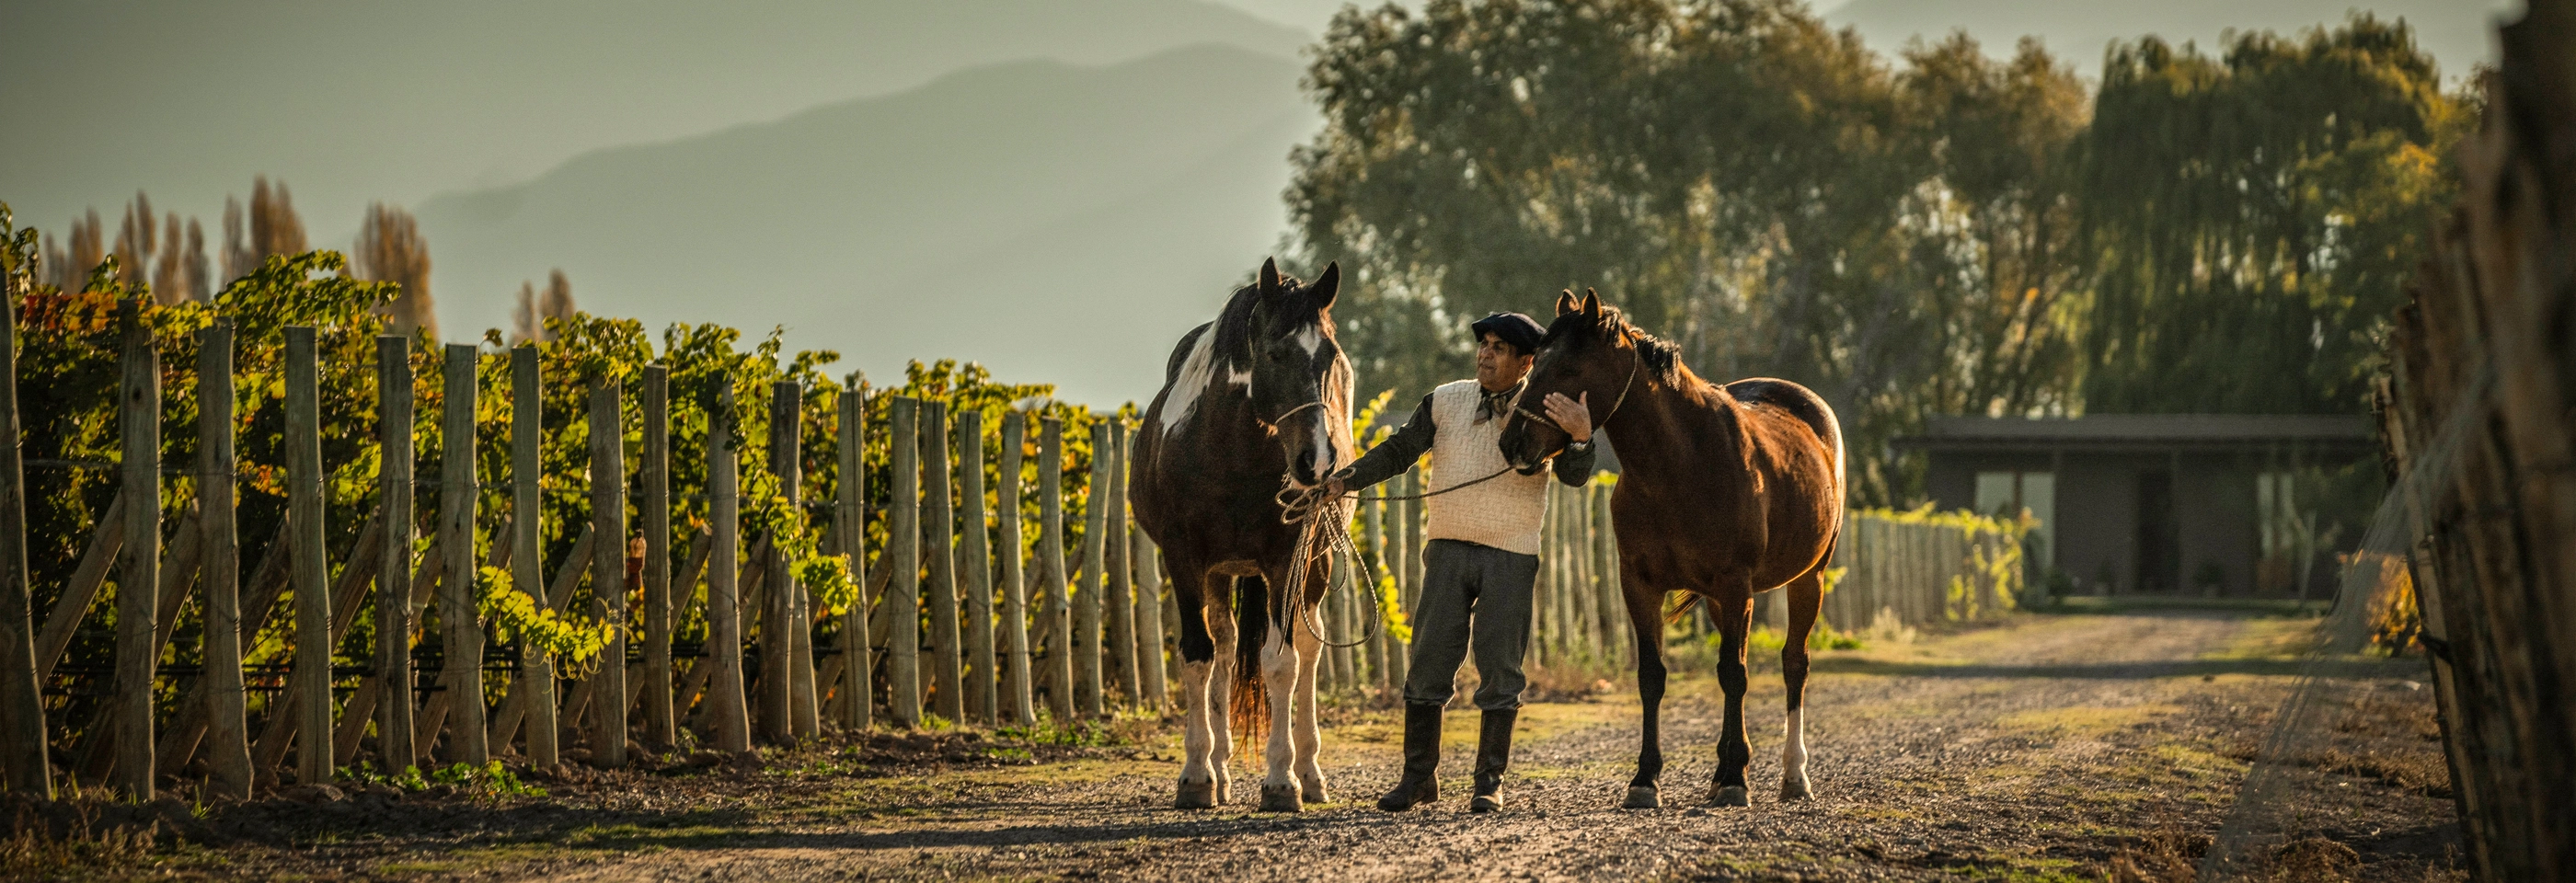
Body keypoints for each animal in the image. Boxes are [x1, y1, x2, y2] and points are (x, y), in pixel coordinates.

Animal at [1131, 258, 1353, 812]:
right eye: (1274, 353)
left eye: (1331, 358)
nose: (1318, 462)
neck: (1230, 451)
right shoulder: (1184, 558)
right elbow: (1199, 656)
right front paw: (1196, 775)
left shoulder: (1285, 559)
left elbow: (1281, 662)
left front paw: (1281, 780)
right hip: (1220, 572)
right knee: (1227, 647)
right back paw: (1222, 766)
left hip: (1315, 565)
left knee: (1308, 646)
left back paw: (1310, 772)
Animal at [1498, 289, 1844, 809]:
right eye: (1535, 362)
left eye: (1570, 369)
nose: (1512, 443)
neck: (1680, 465)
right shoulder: (1641, 585)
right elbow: (1653, 676)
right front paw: (1646, 779)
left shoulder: (1735, 583)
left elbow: (1734, 674)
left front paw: (1737, 781)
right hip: (1727, 601)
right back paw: (1725, 770)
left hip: (1808, 578)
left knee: (1793, 665)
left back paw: (1792, 774)